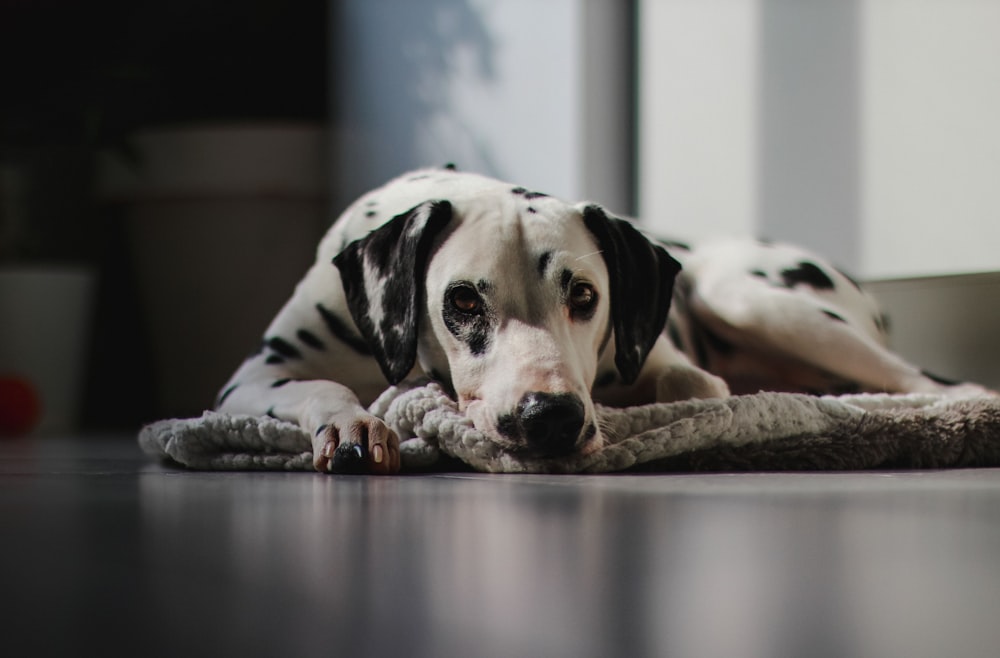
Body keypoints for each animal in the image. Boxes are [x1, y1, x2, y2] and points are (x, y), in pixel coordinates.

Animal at [219, 164, 984, 472]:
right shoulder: (250, 380)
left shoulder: (668, 362)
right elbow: (321, 387)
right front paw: (354, 424)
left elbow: (692, 386)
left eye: (584, 296)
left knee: (934, 386)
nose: (549, 417)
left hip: (754, 297)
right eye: (462, 301)